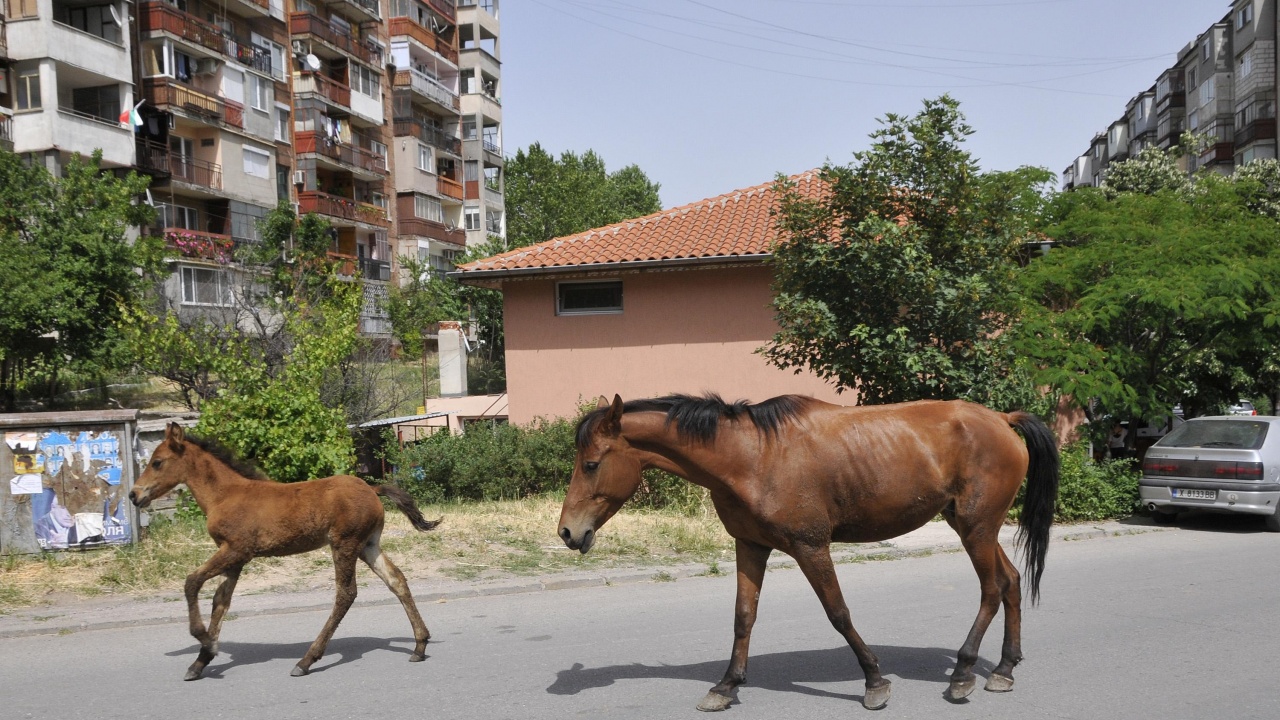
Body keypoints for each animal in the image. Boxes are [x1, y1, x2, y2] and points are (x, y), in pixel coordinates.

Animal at [129, 422, 440, 681]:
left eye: (157, 462)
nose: (134, 495)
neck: (225, 495)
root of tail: (372, 489)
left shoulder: (237, 550)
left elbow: (191, 582)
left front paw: (204, 640)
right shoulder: (234, 559)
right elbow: (220, 602)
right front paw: (201, 661)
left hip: (345, 543)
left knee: (346, 594)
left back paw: (306, 660)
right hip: (368, 545)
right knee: (396, 580)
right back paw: (420, 645)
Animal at [560, 394, 1059, 707]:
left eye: (592, 464)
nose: (567, 532)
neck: (754, 457)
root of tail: (1002, 419)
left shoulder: (810, 547)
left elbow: (838, 613)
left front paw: (874, 682)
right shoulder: (751, 546)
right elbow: (743, 616)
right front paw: (726, 685)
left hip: (976, 529)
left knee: (992, 589)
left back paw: (963, 673)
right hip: (975, 527)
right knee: (1011, 582)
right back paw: (1004, 669)